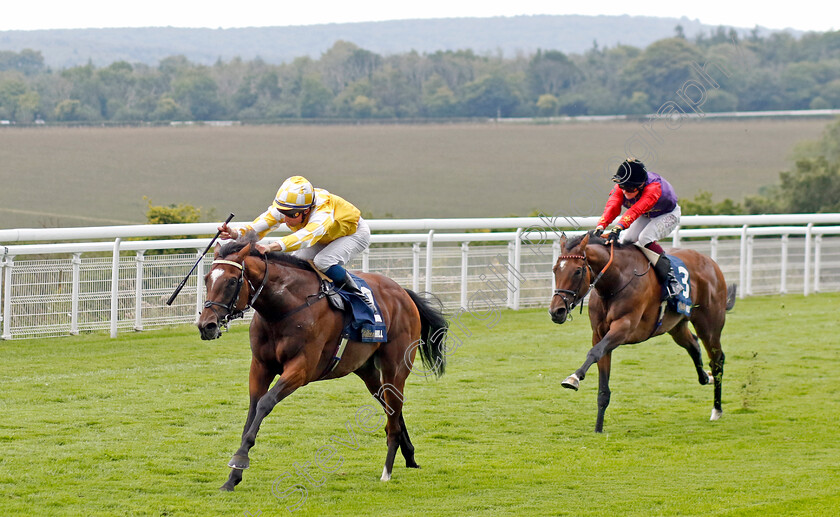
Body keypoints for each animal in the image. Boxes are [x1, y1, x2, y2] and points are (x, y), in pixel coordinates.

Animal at [199, 232, 446, 490]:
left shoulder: (301, 369)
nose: (207, 325)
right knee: (392, 408)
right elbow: (253, 411)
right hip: (366, 370)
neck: (283, 309)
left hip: (395, 366)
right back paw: (409, 455)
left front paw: (240, 459)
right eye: (206, 278)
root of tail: (403, 292)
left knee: (394, 411)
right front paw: (232, 477)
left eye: (231, 281)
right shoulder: (260, 366)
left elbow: (265, 403)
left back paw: (387, 470)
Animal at [544, 230, 736, 432]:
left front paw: (573, 378)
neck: (614, 281)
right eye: (555, 269)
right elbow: (602, 383)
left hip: (709, 324)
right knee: (693, 344)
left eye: (578, 271)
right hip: (676, 325)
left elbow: (594, 352)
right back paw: (706, 378)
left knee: (717, 359)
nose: (556, 311)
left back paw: (717, 409)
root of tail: (711, 262)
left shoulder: (624, 327)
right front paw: (598, 428)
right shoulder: (599, 334)